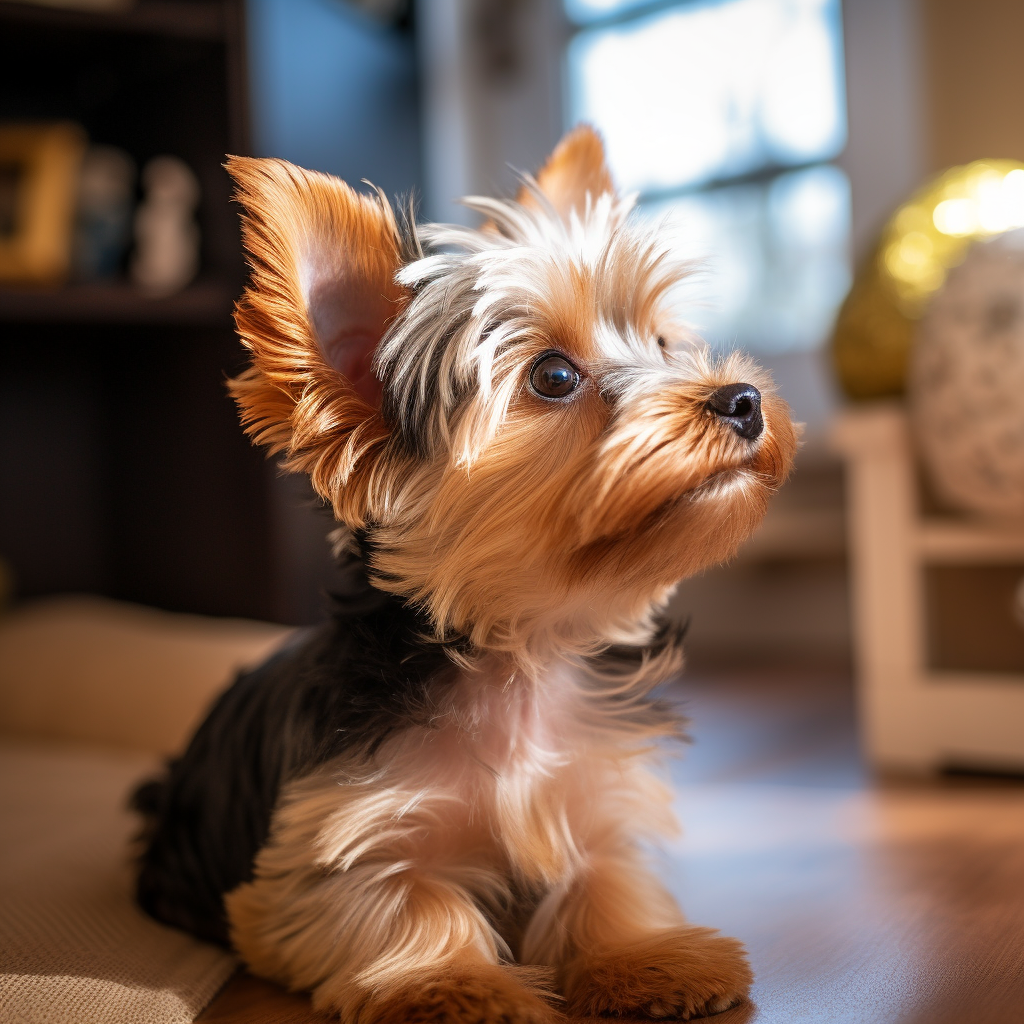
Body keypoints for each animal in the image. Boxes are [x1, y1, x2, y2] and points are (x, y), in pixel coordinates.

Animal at [132, 123, 794, 1019]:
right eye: (553, 376)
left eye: (661, 343)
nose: (742, 400)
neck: (519, 653)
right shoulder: (324, 846)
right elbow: (400, 901)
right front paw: (449, 984)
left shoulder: (596, 794)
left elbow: (606, 880)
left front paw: (649, 958)